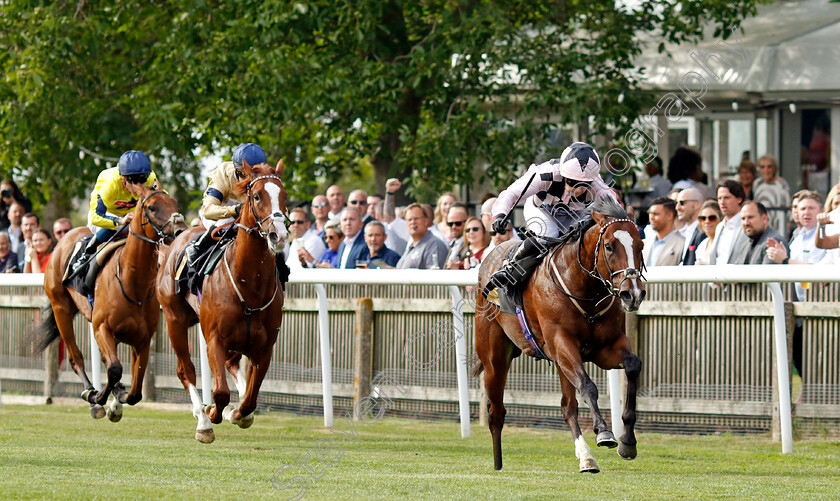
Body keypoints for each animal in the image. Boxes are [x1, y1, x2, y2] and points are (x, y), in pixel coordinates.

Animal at [38, 186, 186, 420]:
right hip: (60, 307)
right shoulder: (101, 328)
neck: (131, 283)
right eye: (152, 207)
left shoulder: (143, 339)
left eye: (174, 203)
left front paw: (119, 398)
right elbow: (114, 368)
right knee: (75, 357)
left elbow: (135, 390)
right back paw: (91, 393)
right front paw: (100, 397)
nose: (181, 230)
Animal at [157, 159, 288, 442]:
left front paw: (238, 413)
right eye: (256, 196)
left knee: (232, 366)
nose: (279, 235)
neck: (249, 284)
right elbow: (220, 392)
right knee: (186, 370)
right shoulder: (214, 338)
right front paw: (212, 414)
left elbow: (250, 399)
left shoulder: (265, 347)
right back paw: (203, 420)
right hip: (174, 319)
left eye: (284, 196)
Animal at [476, 196, 648, 472]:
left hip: (557, 362)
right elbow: (588, 386)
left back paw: (586, 458)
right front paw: (604, 432)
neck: (585, 288)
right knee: (497, 412)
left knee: (567, 407)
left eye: (640, 245)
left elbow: (633, 365)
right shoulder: (562, 344)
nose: (632, 294)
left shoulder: (605, 347)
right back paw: (498, 464)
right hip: (494, 358)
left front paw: (628, 442)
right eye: (609, 246)